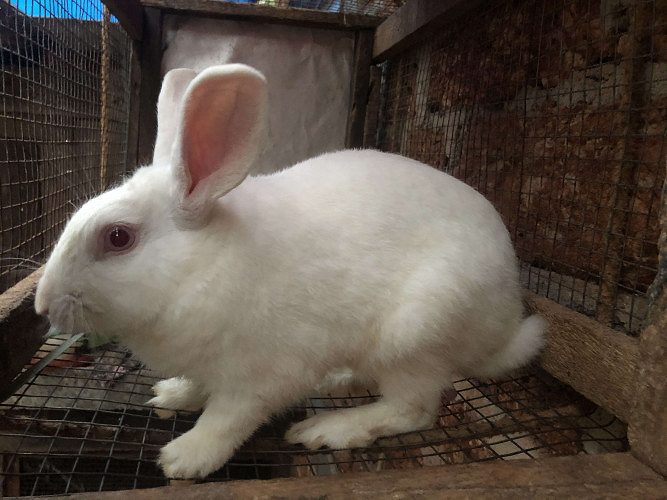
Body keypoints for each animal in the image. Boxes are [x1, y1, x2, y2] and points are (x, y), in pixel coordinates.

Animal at [34, 64, 547, 479]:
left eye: (118, 237)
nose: (42, 304)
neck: (201, 267)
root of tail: (503, 327)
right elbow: (199, 388)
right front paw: (172, 396)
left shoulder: (261, 378)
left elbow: (227, 419)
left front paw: (184, 458)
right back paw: (336, 383)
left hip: (418, 336)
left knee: (413, 409)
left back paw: (327, 428)